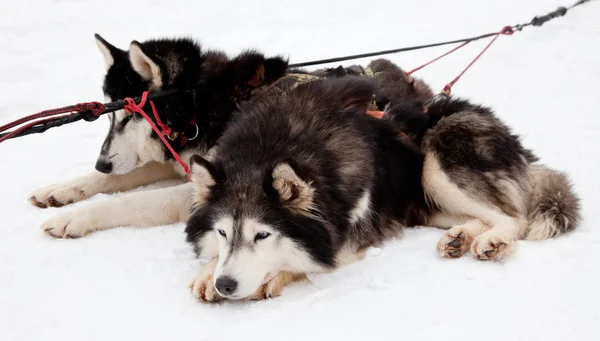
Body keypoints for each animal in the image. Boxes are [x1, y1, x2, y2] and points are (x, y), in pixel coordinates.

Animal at [30, 33, 288, 236]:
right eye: (109, 118)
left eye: (129, 117)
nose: (101, 164)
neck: (197, 108)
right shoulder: (174, 158)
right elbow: (116, 177)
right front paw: (62, 189)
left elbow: (133, 200)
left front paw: (75, 217)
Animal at [185, 77, 424, 300]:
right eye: (222, 232)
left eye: (262, 235)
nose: (224, 284)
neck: (272, 147)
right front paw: (208, 273)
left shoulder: (350, 232)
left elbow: (312, 261)